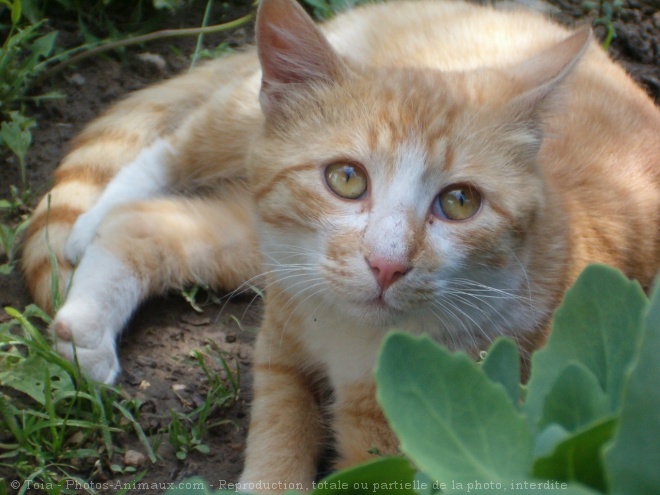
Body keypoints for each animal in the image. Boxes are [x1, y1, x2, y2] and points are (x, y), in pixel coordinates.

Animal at [20, 0, 660, 490]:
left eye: (460, 202)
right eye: (346, 178)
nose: (387, 264)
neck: (350, 338)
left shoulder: (396, 446)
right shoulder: (281, 350)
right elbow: (278, 437)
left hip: (254, 243)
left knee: (148, 223)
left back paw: (85, 325)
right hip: (243, 131)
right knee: (170, 153)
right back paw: (87, 226)